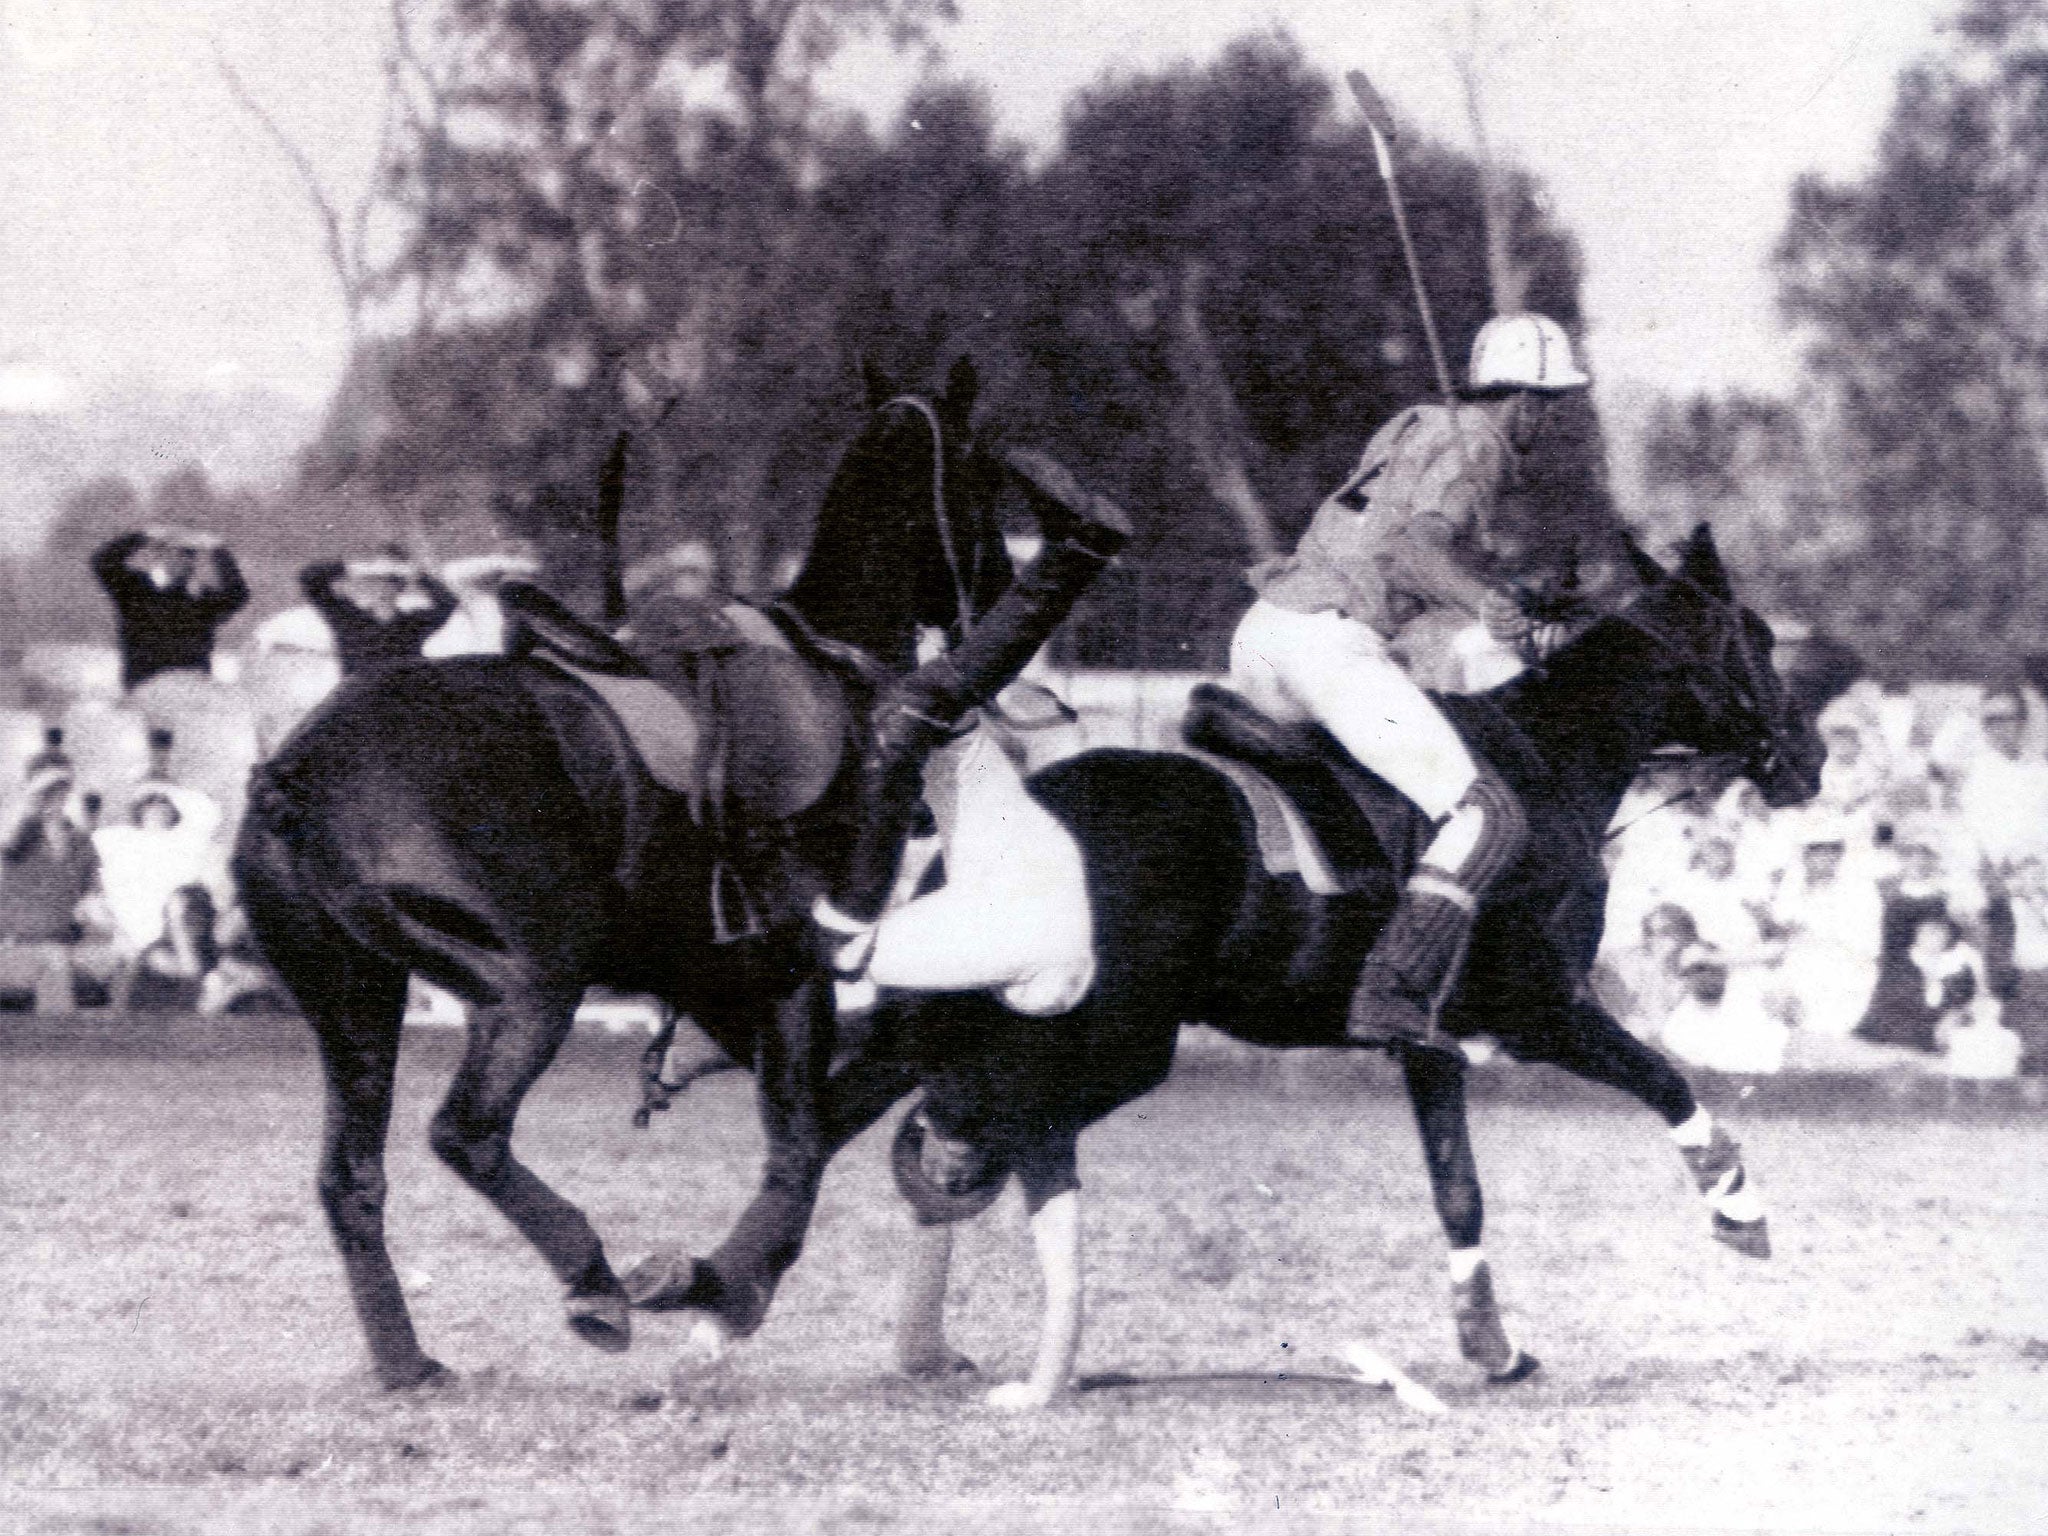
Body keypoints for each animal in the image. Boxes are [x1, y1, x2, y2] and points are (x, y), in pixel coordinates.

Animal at [228, 364, 1011, 1392]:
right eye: (983, 472)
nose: (997, 591)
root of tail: (296, 774)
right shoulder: (792, 973)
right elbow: (806, 1134)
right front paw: (723, 1288)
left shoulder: (720, 981)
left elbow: (842, 1100)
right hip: (528, 983)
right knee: (465, 1133)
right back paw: (592, 1280)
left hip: (354, 997)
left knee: (351, 1177)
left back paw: (410, 1363)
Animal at [770, 528, 1826, 1384]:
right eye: (1761, 639)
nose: (1810, 759)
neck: (1552, 761)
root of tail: (1014, 828)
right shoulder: (1539, 1007)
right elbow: (1664, 1077)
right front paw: (1736, 1202)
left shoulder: (1428, 1039)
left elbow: (1458, 1189)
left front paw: (1490, 1343)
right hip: (1115, 1036)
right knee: (970, 1116)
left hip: (964, 1012)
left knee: (845, 1121)